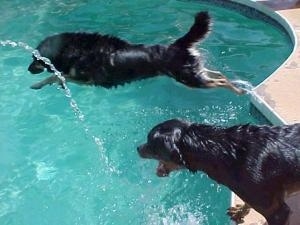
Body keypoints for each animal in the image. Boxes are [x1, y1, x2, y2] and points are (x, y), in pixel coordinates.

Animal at [27, 11, 244, 93]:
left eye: (35, 59)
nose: (28, 70)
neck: (73, 49)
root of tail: (178, 45)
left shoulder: (86, 79)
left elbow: (56, 76)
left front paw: (38, 84)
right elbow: (58, 76)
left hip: (188, 79)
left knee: (218, 81)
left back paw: (237, 90)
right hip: (194, 72)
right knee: (218, 74)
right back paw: (238, 87)